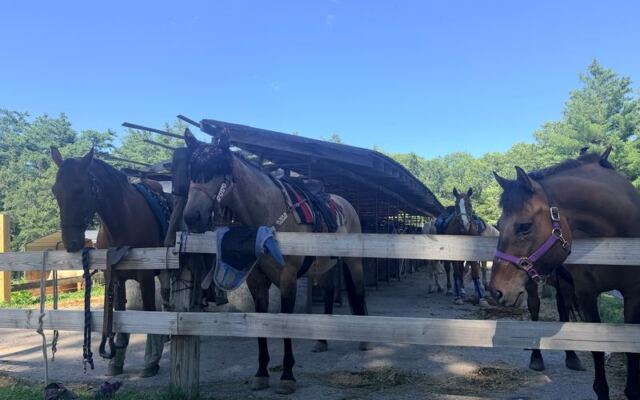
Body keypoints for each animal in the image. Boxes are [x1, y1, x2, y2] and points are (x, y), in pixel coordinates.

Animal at [50, 147, 168, 378]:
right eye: (55, 190)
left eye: (80, 190)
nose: (71, 243)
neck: (122, 222)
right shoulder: (114, 275)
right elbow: (117, 312)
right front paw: (115, 359)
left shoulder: (146, 276)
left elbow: (149, 312)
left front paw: (150, 362)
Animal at [181, 130, 369, 395]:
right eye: (191, 170)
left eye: (219, 170)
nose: (192, 217)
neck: (267, 216)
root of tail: (346, 205)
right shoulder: (256, 281)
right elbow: (263, 322)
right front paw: (261, 373)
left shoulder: (288, 278)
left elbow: (285, 323)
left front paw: (287, 376)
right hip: (324, 267)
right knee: (330, 293)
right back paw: (321, 341)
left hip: (354, 263)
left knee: (359, 293)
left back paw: (364, 340)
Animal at [490, 147, 640, 400]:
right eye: (499, 226)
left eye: (524, 226)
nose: (495, 290)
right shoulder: (587, 295)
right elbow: (597, 348)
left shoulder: (632, 295)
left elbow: (630, 349)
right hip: (533, 284)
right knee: (535, 309)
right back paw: (536, 358)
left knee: (562, 309)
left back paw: (572, 357)